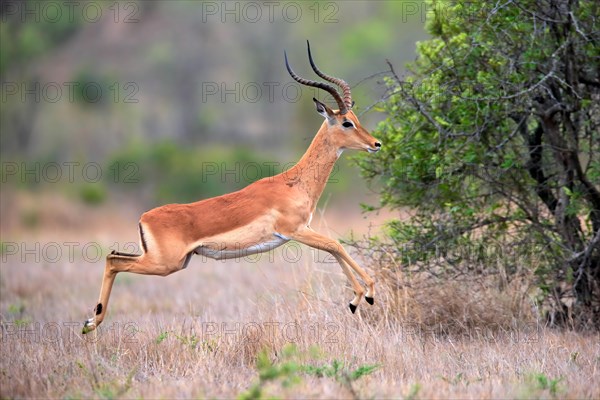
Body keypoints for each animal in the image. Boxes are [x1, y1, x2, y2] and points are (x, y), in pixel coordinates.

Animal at [81, 42, 380, 332]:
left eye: (356, 118)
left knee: (112, 256)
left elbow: (333, 248)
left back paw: (90, 322)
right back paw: (92, 322)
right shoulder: (295, 230)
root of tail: (144, 217)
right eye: (346, 122)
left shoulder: (302, 230)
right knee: (114, 261)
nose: (375, 144)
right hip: (164, 263)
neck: (293, 183)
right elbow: (335, 244)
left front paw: (356, 299)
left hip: (169, 260)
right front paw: (364, 295)